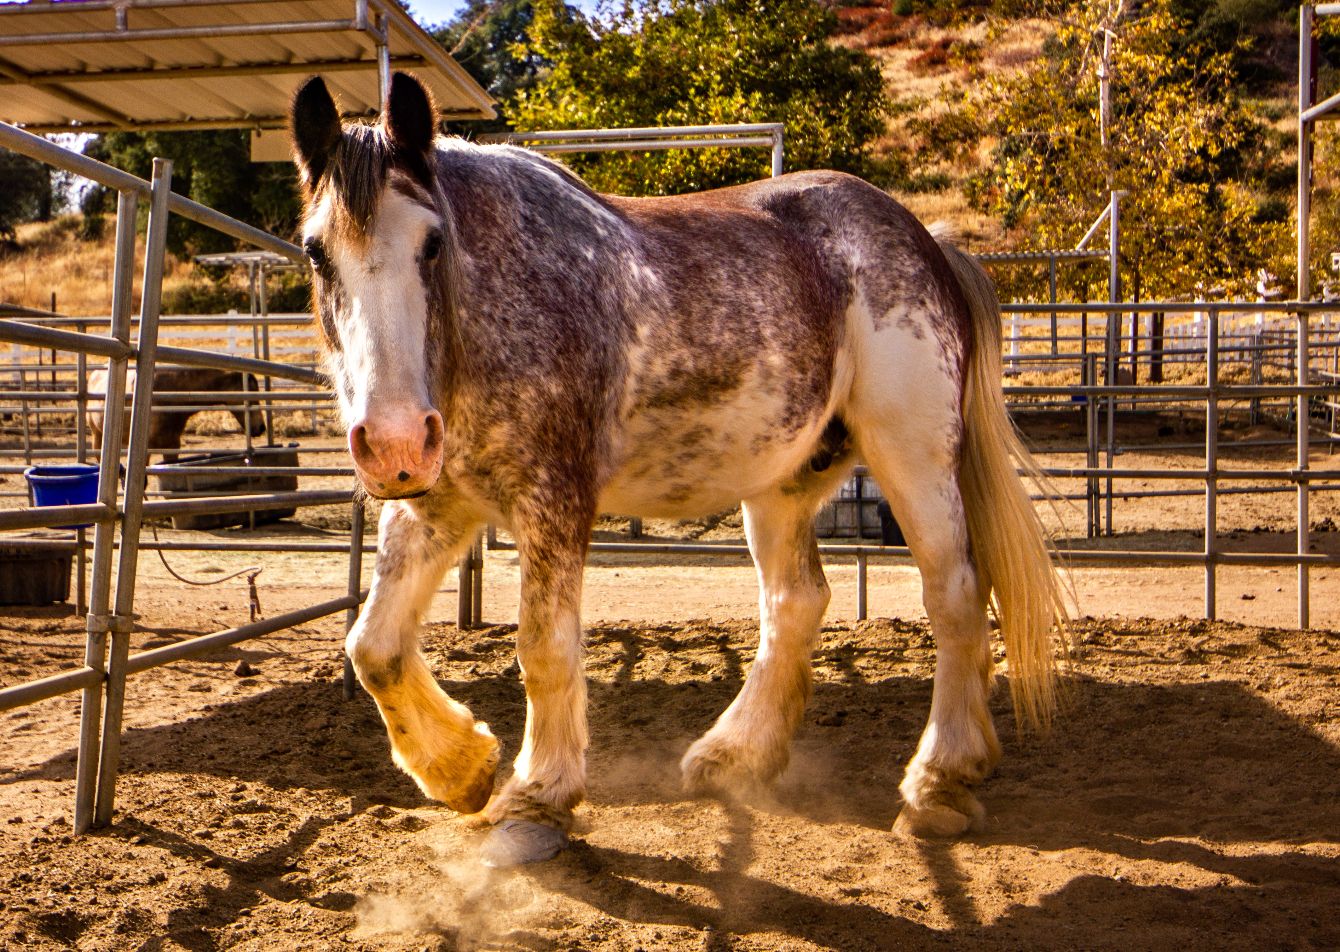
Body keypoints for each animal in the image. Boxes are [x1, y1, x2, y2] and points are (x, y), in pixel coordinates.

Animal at [291, 72, 1068, 867]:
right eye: (317, 252)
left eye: (433, 242)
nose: (393, 443)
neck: (492, 308)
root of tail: (927, 242)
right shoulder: (435, 505)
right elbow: (373, 647)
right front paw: (461, 768)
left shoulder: (554, 499)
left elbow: (543, 646)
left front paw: (538, 799)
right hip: (782, 482)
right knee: (796, 602)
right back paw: (736, 756)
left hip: (913, 455)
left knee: (956, 593)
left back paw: (940, 780)